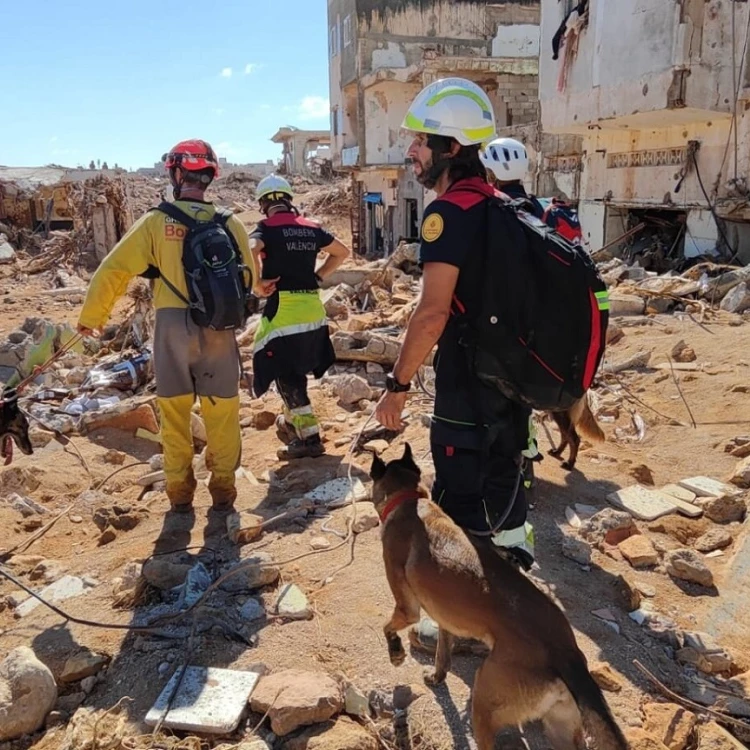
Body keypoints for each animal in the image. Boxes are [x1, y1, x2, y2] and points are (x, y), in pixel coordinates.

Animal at [372, 446, 628, 750]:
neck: (410, 500)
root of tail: (566, 653)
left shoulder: (407, 608)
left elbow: (388, 627)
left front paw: (395, 653)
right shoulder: (445, 620)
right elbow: (442, 656)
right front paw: (436, 675)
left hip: (485, 696)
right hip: (561, 725)